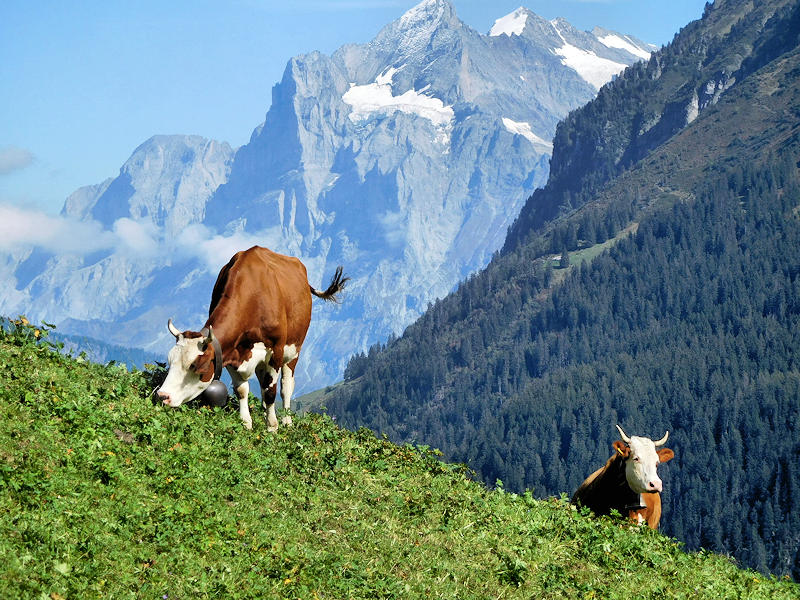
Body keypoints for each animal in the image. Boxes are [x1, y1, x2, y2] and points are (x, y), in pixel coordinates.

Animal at [156, 246, 346, 428]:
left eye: (196, 366)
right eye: (170, 361)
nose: (163, 395)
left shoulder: (275, 352)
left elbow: (271, 393)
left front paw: (272, 427)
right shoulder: (231, 351)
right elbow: (242, 390)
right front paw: (246, 424)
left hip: (294, 350)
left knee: (286, 386)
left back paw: (286, 421)